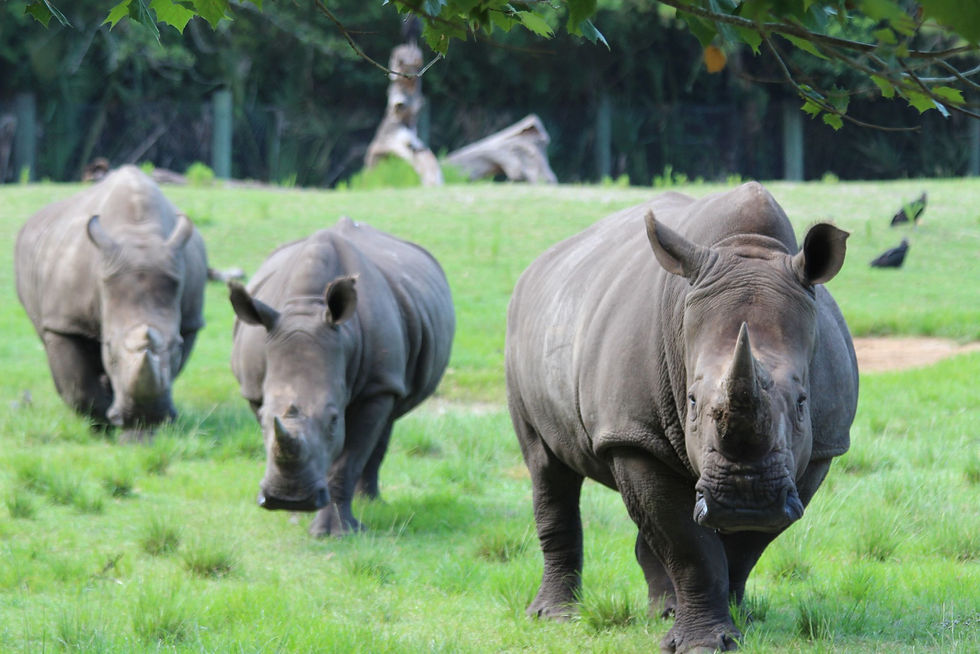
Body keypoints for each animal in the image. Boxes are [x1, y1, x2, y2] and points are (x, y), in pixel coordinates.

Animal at [15, 165, 208, 432]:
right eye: (108, 348)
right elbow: (77, 385)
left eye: (177, 346)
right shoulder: (64, 322)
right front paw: (102, 425)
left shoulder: (190, 321)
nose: (146, 416)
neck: (138, 234)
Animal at [228, 217, 454, 536]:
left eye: (334, 420)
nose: (289, 499)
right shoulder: (253, 387)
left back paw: (371, 504)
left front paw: (334, 533)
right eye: (261, 417)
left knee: (384, 425)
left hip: (390, 374)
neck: (306, 306)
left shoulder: (378, 385)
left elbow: (348, 460)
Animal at [505, 183, 858, 652]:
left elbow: (744, 546)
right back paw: (555, 617)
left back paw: (664, 611)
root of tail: (538, 266)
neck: (745, 248)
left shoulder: (821, 447)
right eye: (691, 401)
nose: (746, 497)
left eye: (803, 402)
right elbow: (689, 546)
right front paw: (703, 643)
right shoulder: (631, 434)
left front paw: (737, 620)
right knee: (546, 465)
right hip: (521, 335)